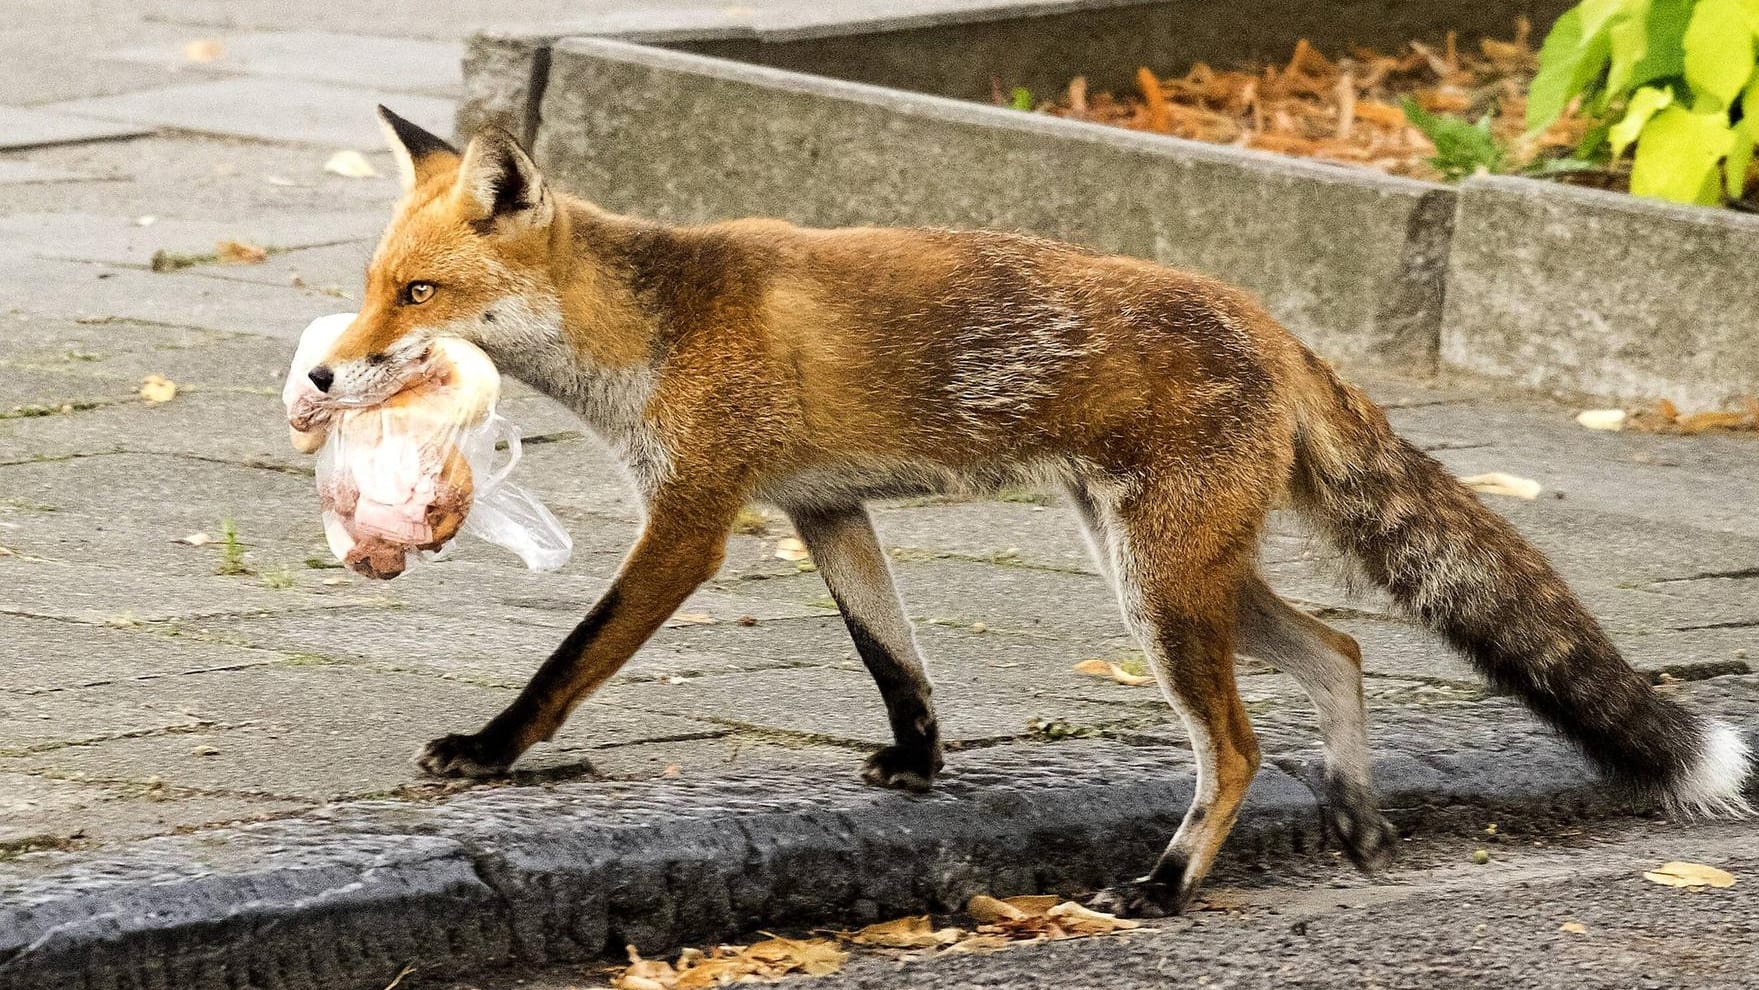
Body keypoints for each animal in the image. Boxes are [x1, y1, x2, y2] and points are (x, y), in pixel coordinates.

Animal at [299, 104, 1744, 921]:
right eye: (372, 286)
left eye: (418, 294)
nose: (318, 377)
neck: (648, 330)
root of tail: (1265, 317)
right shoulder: (829, 513)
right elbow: (896, 661)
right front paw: (921, 764)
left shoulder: (693, 521)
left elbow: (568, 662)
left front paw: (487, 752)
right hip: (1173, 574)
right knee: (1336, 651)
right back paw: (1350, 813)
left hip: (1159, 591)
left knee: (1234, 746)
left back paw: (1167, 886)